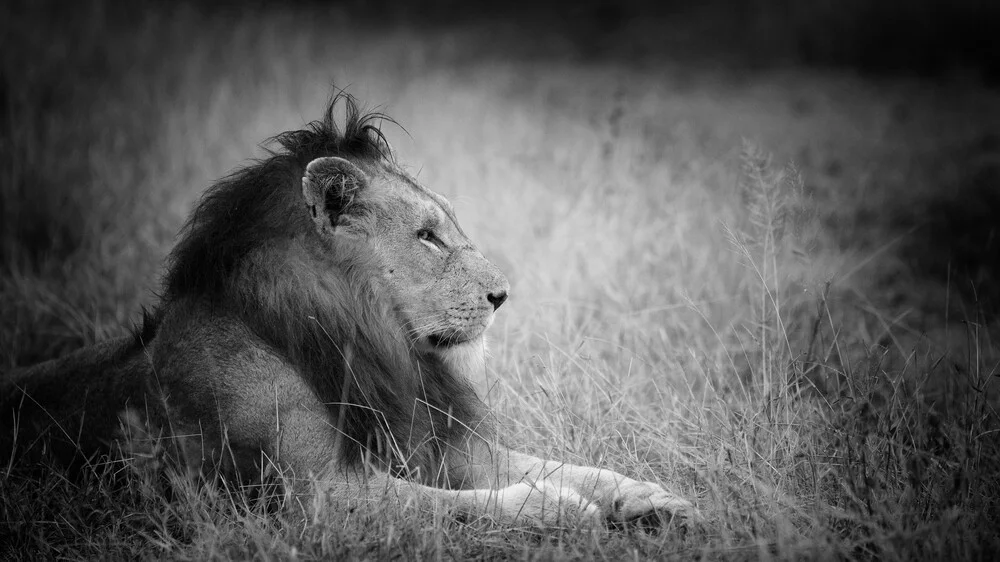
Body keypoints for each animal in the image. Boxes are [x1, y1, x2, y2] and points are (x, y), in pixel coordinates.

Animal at [3, 91, 696, 524]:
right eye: (427, 236)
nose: (503, 295)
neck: (369, 343)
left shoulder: (448, 448)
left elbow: (573, 467)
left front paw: (650, 497)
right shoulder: (317, 495)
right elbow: (460, 504)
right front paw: (559, 508)